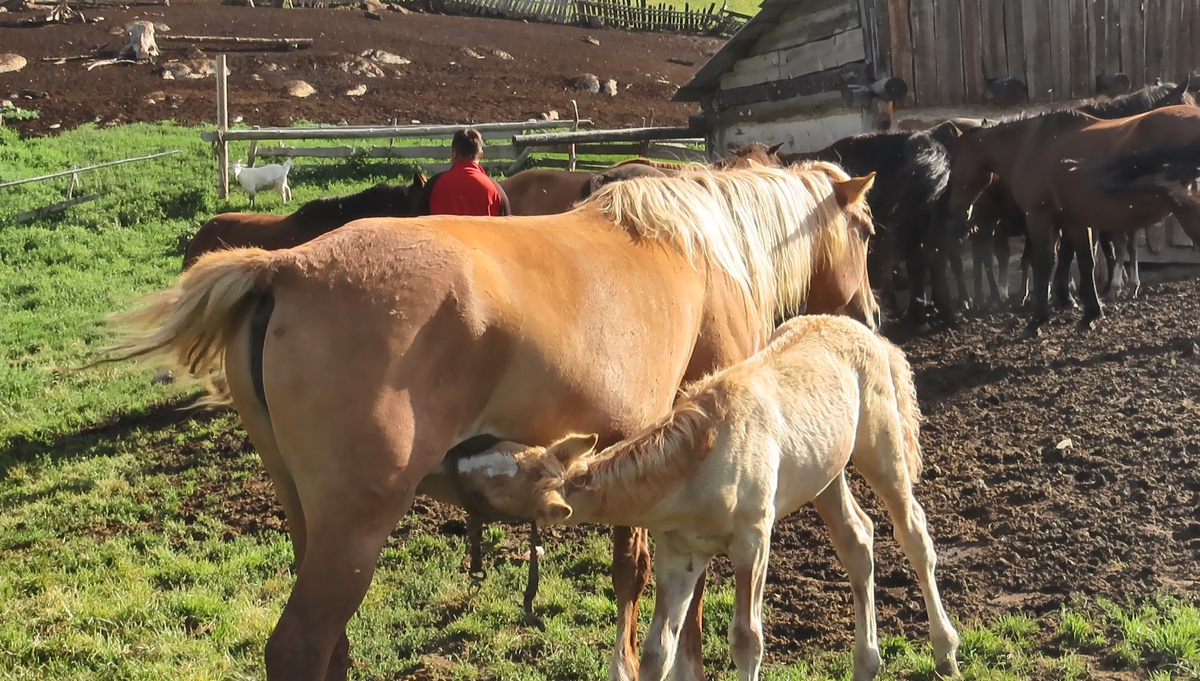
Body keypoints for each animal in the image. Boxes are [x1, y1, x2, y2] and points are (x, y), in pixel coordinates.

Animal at [422, 314, 955, 681]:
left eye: (488, 486)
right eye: (493, 449)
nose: (438, 463)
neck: (697, 464)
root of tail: (866, 331)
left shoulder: (752, 539)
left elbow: (746, 639)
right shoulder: (679, 553)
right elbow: (658, 649)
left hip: (879, 448)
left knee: (913, 532)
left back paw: (945, 651)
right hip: (825, 473)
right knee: (856, 539)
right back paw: (867, 662)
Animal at [945, 105, 1200, 335]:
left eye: (953, 165)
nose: (957, 211)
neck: (1032, 145)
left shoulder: (1039, 218)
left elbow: (1043, 263)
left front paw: (1037, 320)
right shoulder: (1075, 221)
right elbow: (1086, 262)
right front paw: (1090, 315)